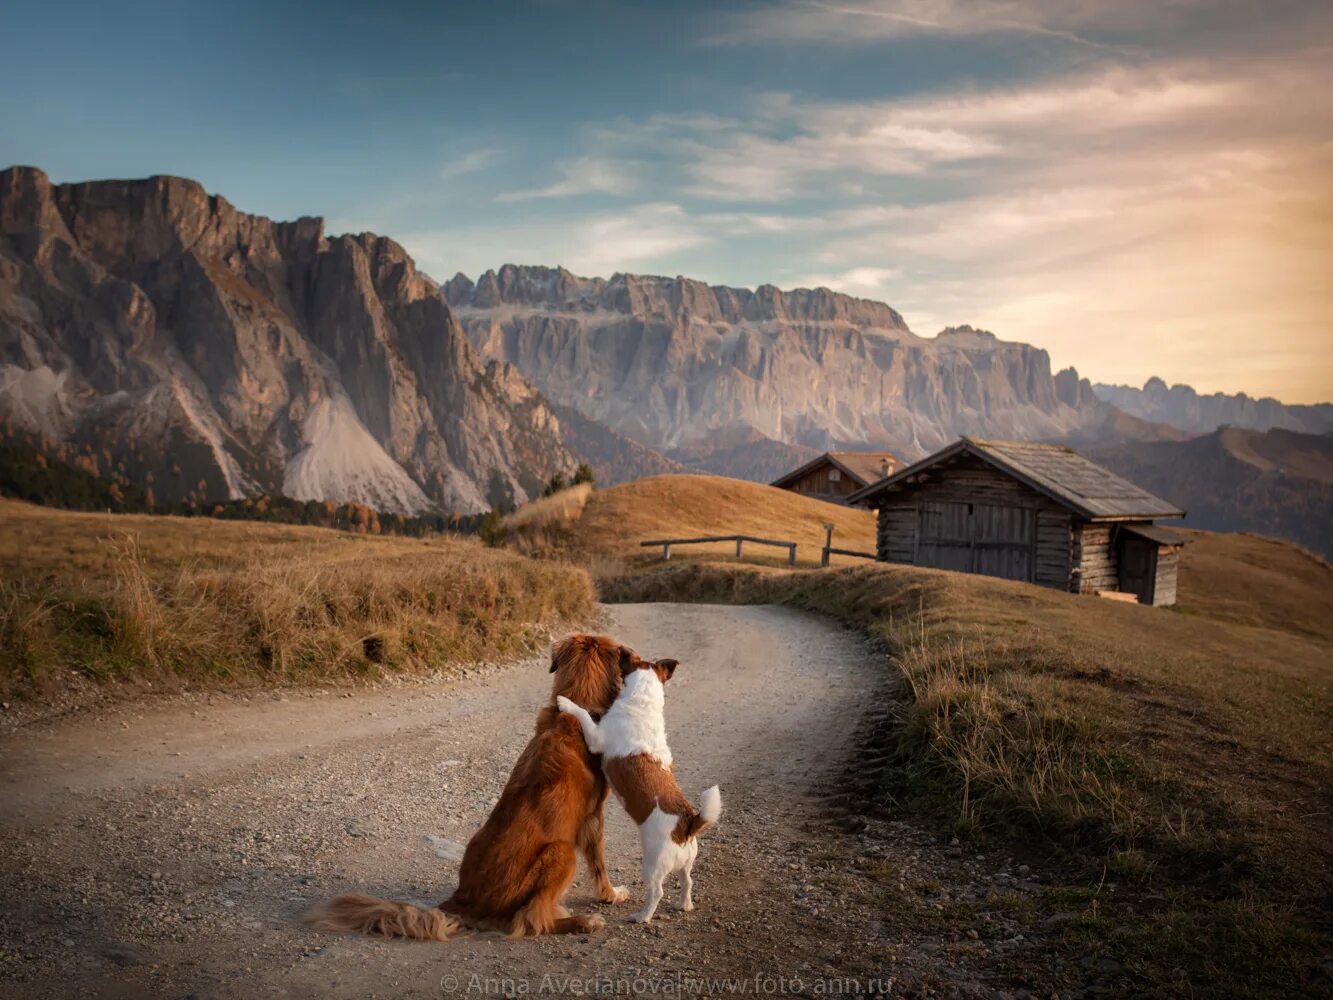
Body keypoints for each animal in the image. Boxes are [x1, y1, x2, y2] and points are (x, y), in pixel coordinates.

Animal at [314, 637, 642, 944]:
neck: (576, 707)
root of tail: (464, 900)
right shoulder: (593, 817)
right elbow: (599, 864)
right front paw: (611, 894)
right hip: (560, 852)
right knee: (531, 920)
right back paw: (582, 921)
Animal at [557, 658, 725, 922]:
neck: (643, 702)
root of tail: (687, 824)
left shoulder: (596, 737)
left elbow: (582, 714)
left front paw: (565, 702)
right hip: (685, 863)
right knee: (688, 882)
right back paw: (684, 905)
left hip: (652, 866)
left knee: (657, 892)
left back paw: (642, 916)